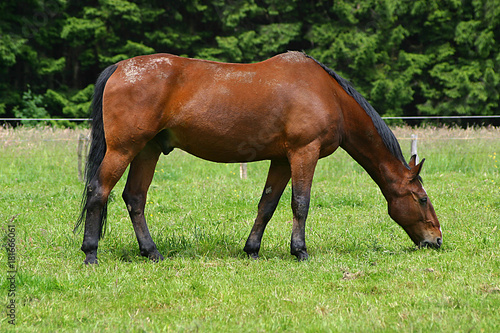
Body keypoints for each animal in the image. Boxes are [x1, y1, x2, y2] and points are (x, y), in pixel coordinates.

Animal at [75, 50, 442, 264]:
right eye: (422, 199)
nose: (436, 240)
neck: (328, 95)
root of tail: (119, 68)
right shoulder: (304, 153)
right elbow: (300, 203)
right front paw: (300, 251)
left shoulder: (281, 159)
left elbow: (267, 204)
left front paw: (252, 250)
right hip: (124, 149)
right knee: (99, 192)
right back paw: (91, 253)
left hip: (148, 150)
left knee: (135, 198)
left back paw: (151, 253)